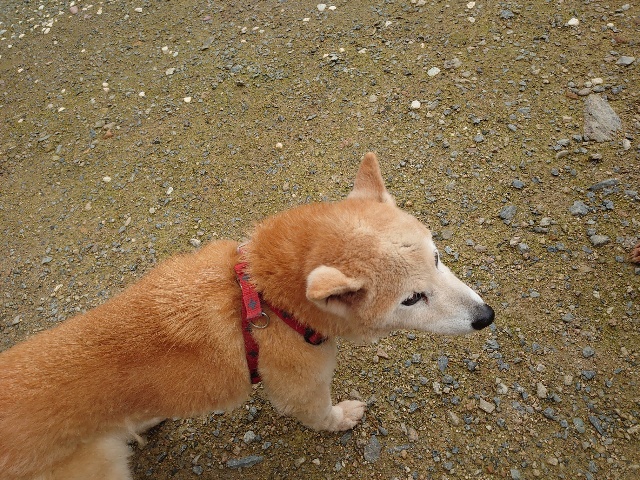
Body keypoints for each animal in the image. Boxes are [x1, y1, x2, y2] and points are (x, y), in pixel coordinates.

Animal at [0, 152, 494, 479]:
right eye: (412, 299)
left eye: (437, 257)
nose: (485, 316)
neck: (266, 298)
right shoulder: (300, 389)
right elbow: (322, 415)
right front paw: (344, 418)